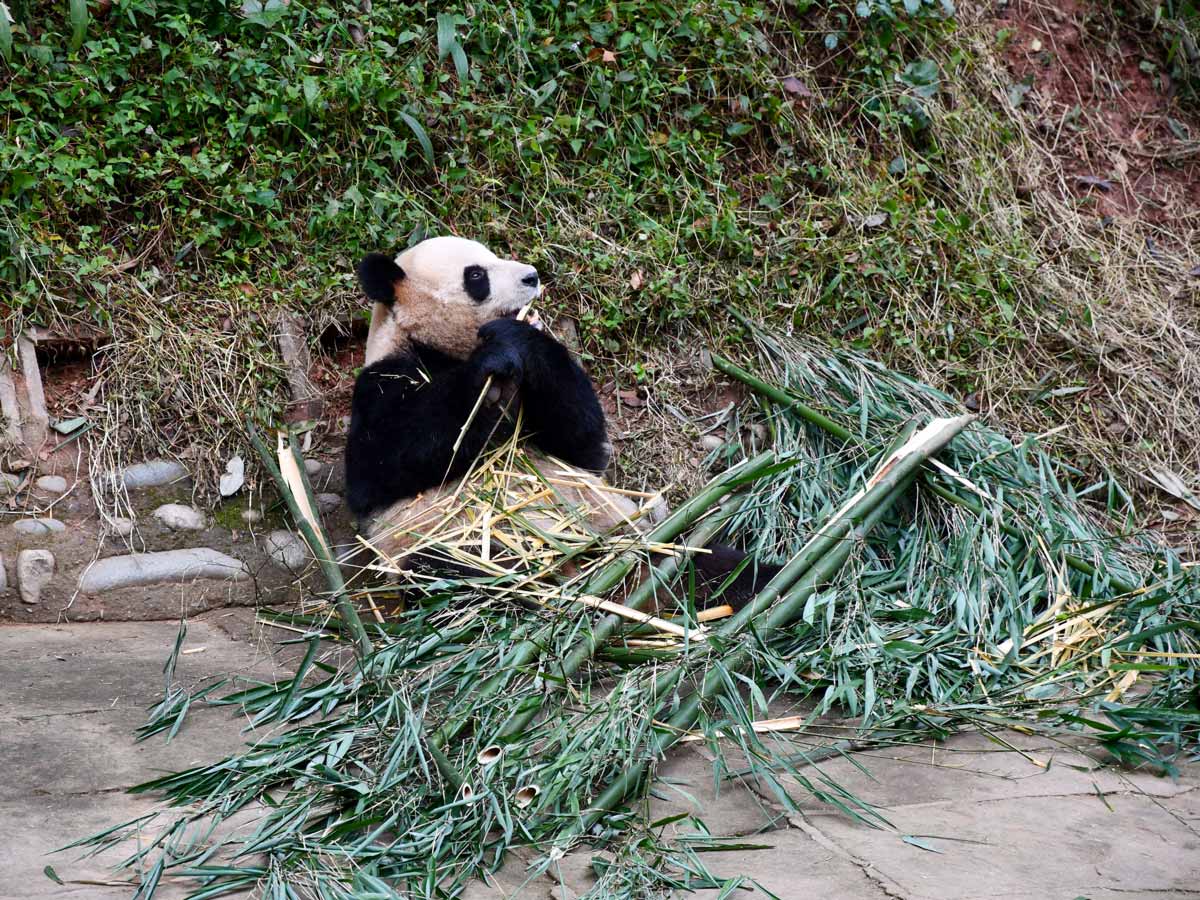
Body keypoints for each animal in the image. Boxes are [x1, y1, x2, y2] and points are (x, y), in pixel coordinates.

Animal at [345, 236, 777, 609]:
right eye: (476, 275)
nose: (532, 276)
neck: (432, 345)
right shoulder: (383, 381)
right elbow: (381, 465)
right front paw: (486, 374)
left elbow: (584, 445)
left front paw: (517, 337)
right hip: (447, 540)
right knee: (456, 569)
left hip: (641, 535)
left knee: (709, 561)